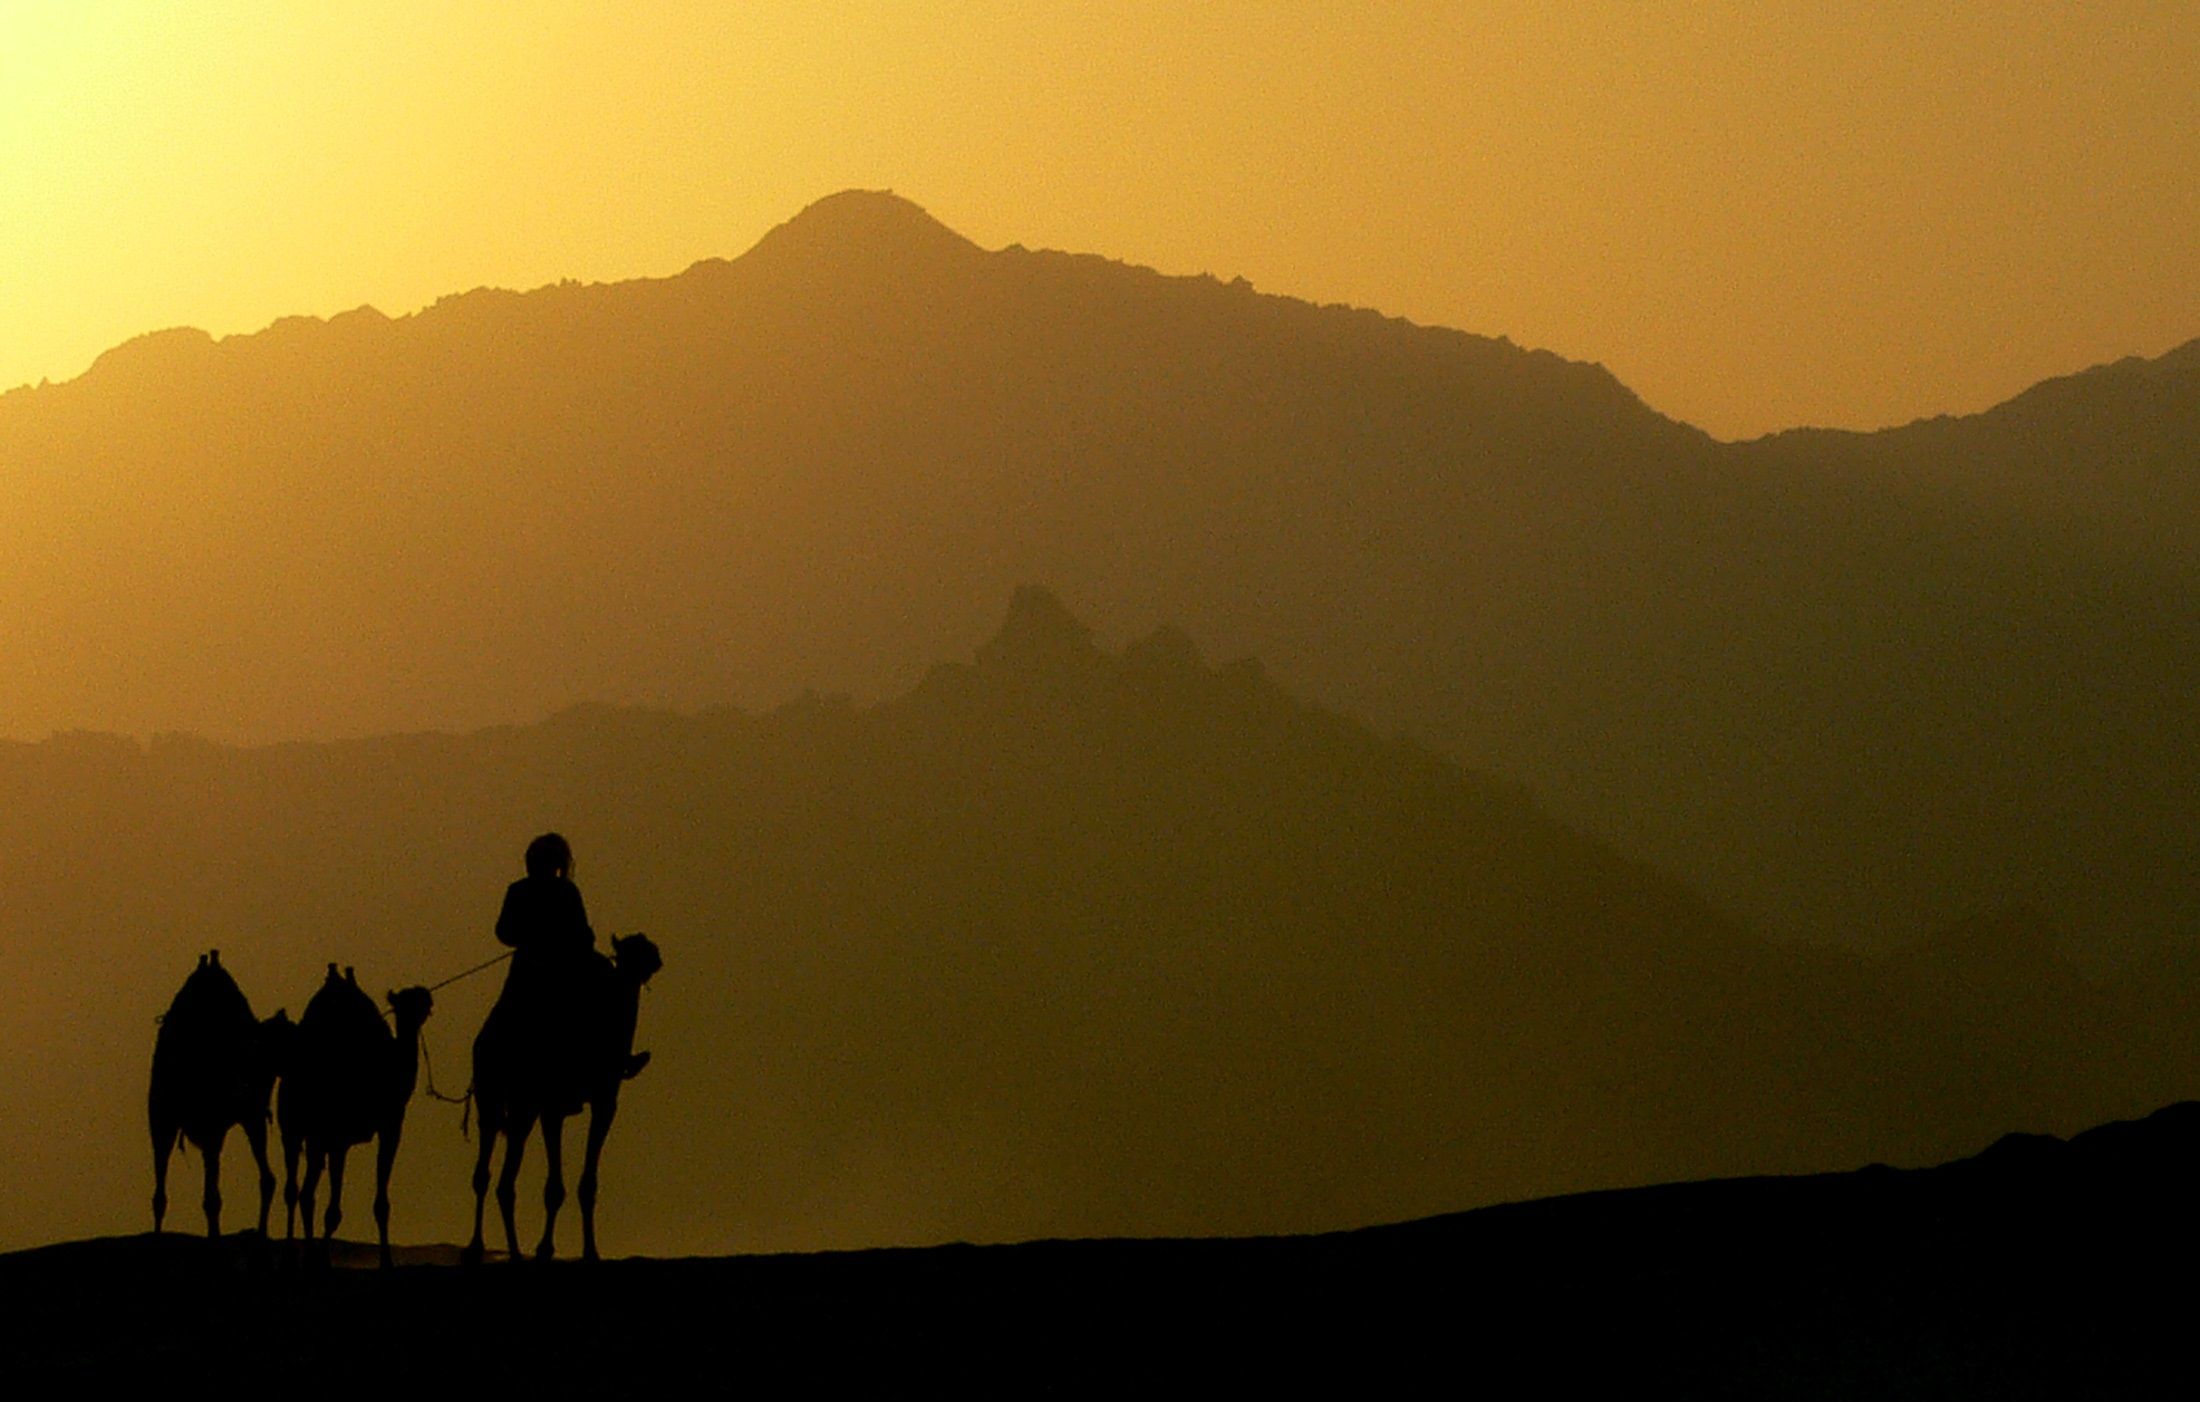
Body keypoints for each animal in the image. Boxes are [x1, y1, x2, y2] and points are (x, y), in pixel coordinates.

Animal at [272, 964, 431, 1267]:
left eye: (421, 1004)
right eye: (402, 1005)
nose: (425, 1004)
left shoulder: (387, 1127)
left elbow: (381, 1203)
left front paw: (386, 1261)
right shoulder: (344, 1137)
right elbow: (334, 1209)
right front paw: (325, 1258)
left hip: (310, 1135)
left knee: (304, 1191)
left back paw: (307, 1254)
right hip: (295, 1129)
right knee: (294, 1189)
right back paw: (294, 1254)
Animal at [464, 933, 660, 1258]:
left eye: (645, 952)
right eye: (630, 952)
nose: (655, 959)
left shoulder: (603, 1101)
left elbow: (586, 1184)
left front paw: (589, 1250)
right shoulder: (554, 1106)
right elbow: (555, 1187)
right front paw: (547, 1248)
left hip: (506, 1101)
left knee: (493, 1175)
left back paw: (493, 1249)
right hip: (506, 1097)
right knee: (495, 1175)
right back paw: (492, 1249)